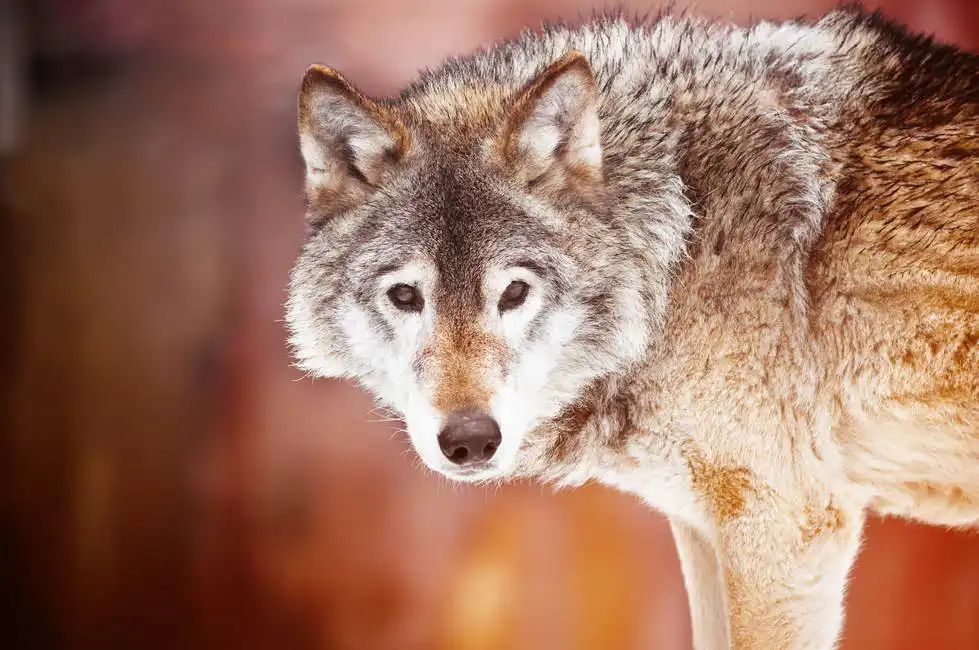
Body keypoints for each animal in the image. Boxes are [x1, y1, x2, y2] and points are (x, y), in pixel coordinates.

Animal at [285, 5, 978, 648]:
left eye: (515, 292)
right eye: (406, 296)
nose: (471, 440)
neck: (678, 243)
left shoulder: (787, 527)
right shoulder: (703, 527)